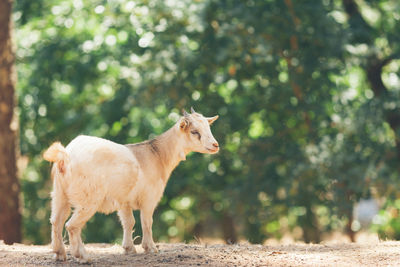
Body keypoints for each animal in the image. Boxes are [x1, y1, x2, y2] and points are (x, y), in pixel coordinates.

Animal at [42, 108, 220, 262]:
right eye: (194, 131)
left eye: (208, 127)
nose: (215, 145)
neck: (157, 155)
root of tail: (65, 156)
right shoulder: (149, 198)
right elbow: (147, 221)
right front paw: (151, 248)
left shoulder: (124, 201)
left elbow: (129, 222)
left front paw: (129, 249)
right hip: (88, 198)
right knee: (72, 226)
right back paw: (83, 256)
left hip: (59, 194)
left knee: (56, 221)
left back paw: (59, 254)